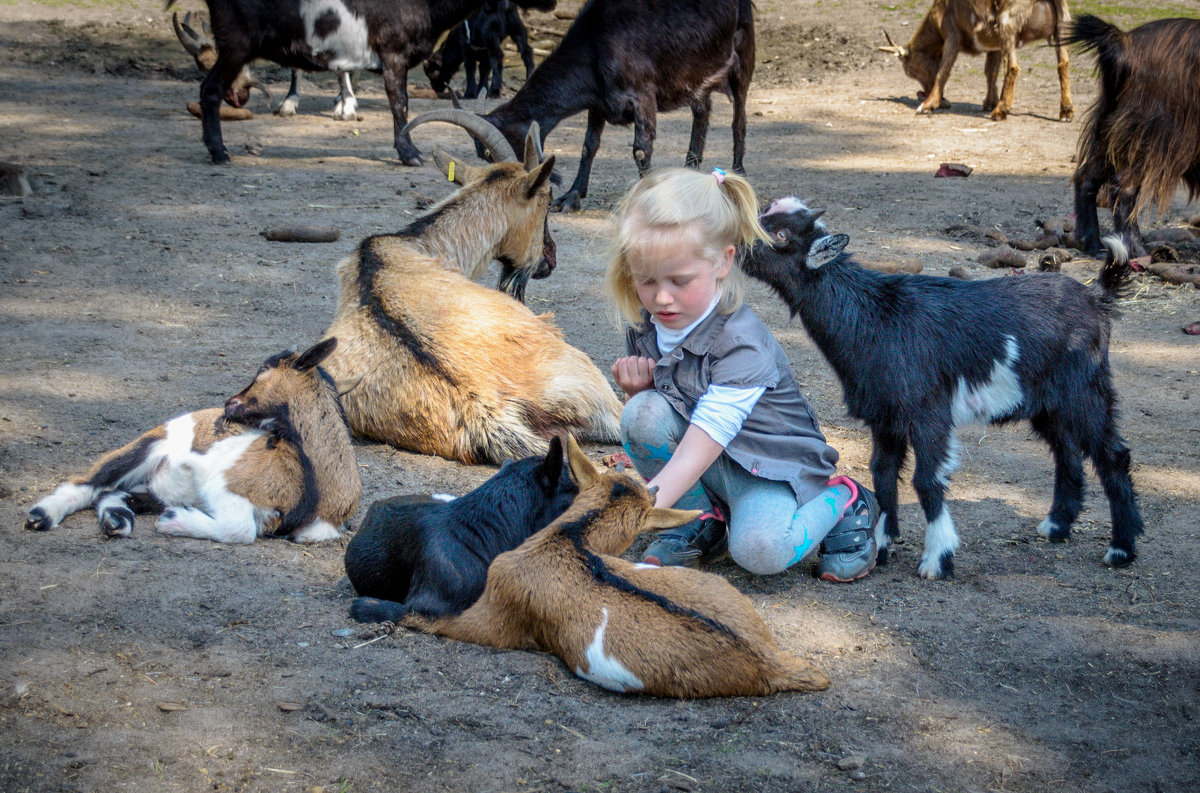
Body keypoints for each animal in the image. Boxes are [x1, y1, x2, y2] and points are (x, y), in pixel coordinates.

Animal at [744, 196, 1147, 580]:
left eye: (781, 234)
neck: (870, 316)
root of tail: (1097, 299)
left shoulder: (928, 413)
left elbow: (926, 480)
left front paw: (938, 559)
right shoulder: (884, 416)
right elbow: (883, 474)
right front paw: (882, 546)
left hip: (1085, 389)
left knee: (1112, 455)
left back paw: (1121, 549)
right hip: (1048, 403)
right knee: (1067, 452)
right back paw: (1056, 526)